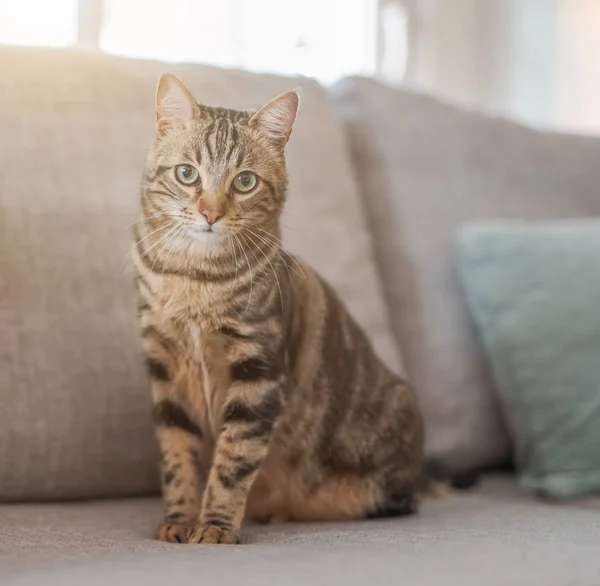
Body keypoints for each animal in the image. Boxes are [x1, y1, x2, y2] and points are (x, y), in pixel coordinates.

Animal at [132, 73, 422, 544]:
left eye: (245, 182)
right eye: (186, 173)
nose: (210, 213)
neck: (194, 279)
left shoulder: (258, 372)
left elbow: (232, 461)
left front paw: (214, 526)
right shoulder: (165, 369)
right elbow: (177, 457)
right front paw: (179, 519)